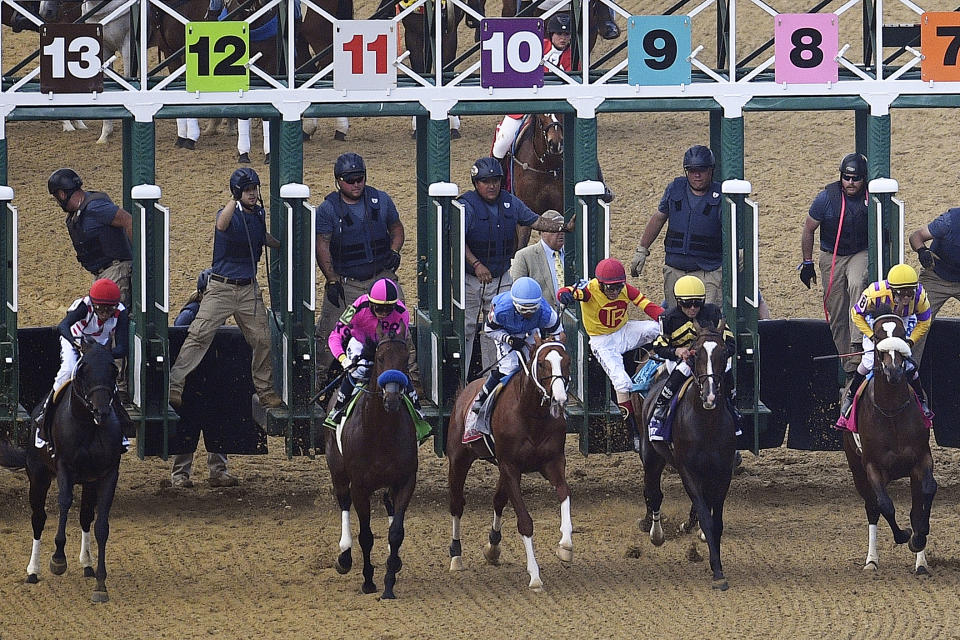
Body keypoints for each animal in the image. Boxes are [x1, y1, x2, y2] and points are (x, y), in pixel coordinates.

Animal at [0, 342, 124, 604]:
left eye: (113, 369)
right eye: (84, 369)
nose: (101, 411)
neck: (88, 426)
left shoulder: (107, 474)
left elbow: (101, 526)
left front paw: (100, 583)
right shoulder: (64, 467)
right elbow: (64, 503)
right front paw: (58, 558)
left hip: (88, 482)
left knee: (85, 517)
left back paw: (87, 564)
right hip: (38, 476)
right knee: (38, 518)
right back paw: (33, 571)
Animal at [324, 330, 418, 600]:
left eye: (405, 358)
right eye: (380, 357)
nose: (393, 397)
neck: (381, 433)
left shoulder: (405, 481)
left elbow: (396, 532)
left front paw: (389, 583)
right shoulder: (360, 487)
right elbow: (365, 535)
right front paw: (368, 581)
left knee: (388, 503)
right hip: (338, 470)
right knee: (343, 502)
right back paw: (344, 556)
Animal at [448, 338, 572, 592]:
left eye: (567, 361)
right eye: (542, 363)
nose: (559, 399)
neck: (532, 416)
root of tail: (466, 389)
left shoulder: (553, 461)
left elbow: (565, 492)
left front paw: (565, 545)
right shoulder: (510, 467)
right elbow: (525, 522)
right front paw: (535, 576)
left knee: (498, 500)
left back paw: (493, 548)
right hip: (458, 458)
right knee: (456, 504)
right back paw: (456, 555)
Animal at [636, 320, 736, 592]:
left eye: (724, 352)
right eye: (694, 352)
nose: (710, 395)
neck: (707, 424)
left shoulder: (723, 471)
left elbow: (715, 520)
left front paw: (717, 564)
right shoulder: (687, 470)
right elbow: (706, 517)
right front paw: (717, 571)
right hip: (651, 457)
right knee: (654, 493)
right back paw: (656, 533)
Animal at [844, 312, 932, 572]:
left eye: (903, 335)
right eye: (877, 337)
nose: (893, 371)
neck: (892, 411)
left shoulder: (921, 459)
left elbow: (925, 494)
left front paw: (918, 537)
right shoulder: (872, 466)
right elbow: (884, 505)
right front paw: (904, 535)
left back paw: (920, 563)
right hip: (856, 469)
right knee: (872, 508)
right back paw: (871, 560)